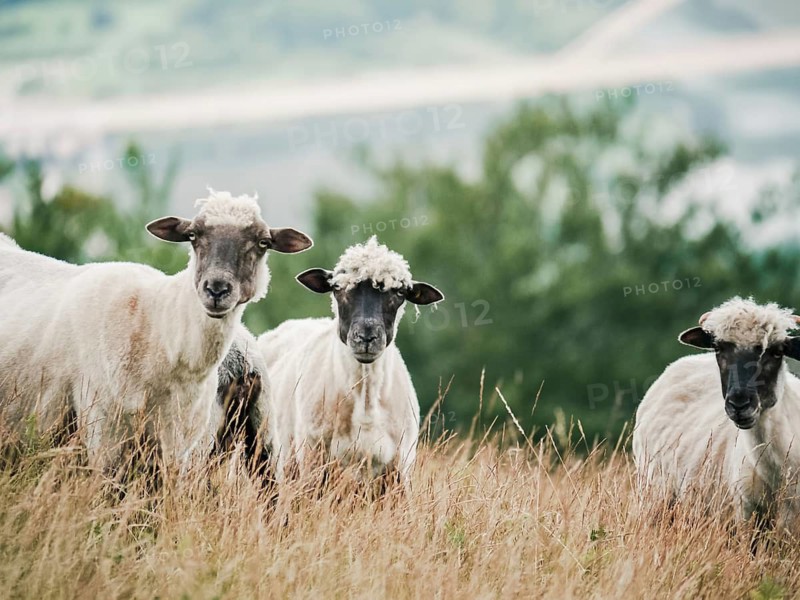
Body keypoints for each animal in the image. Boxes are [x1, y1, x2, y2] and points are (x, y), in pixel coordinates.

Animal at [258, 236, 443, 486]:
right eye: (337, 288)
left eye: (399, 293)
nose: (366, 336)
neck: (365, 404)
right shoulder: (313, 464)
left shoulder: (398, 470)